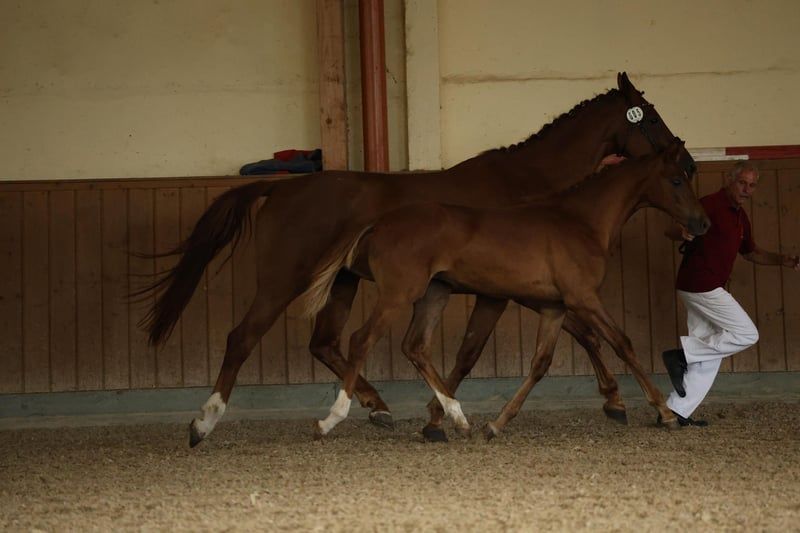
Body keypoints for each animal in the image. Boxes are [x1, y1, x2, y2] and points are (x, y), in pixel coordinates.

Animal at [312, 140, 710, 439]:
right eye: (676, 180)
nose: (701, 224)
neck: (580, 221)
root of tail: (378, 223)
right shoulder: (583, 298)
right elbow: (623, 344)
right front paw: (665, 412)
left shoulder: (554, 307)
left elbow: (541, 363)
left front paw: (496, 424)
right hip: (399, 295)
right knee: (361, 340)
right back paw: (334, 419)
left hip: (433, 295)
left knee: (415, 347)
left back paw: (458, 419)